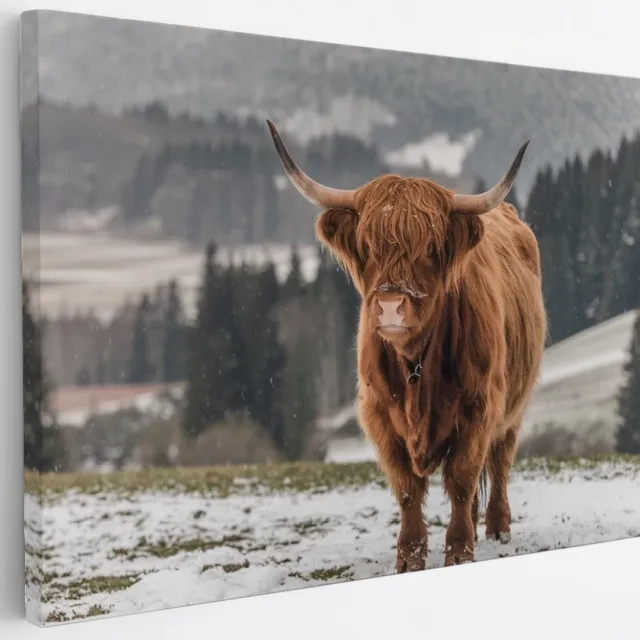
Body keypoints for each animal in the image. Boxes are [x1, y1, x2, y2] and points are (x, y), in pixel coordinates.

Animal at [266, 120, 546, 571]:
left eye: (430, 248)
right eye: (366, 246)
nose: (391, 306)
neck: (416, 363)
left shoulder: (479, 407)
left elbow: (462, 478)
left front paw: (459, 551)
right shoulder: (379, 413)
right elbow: (407, 490)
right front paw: (410, 557)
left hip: (514, 405)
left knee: (500, 460)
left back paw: (497, 527)